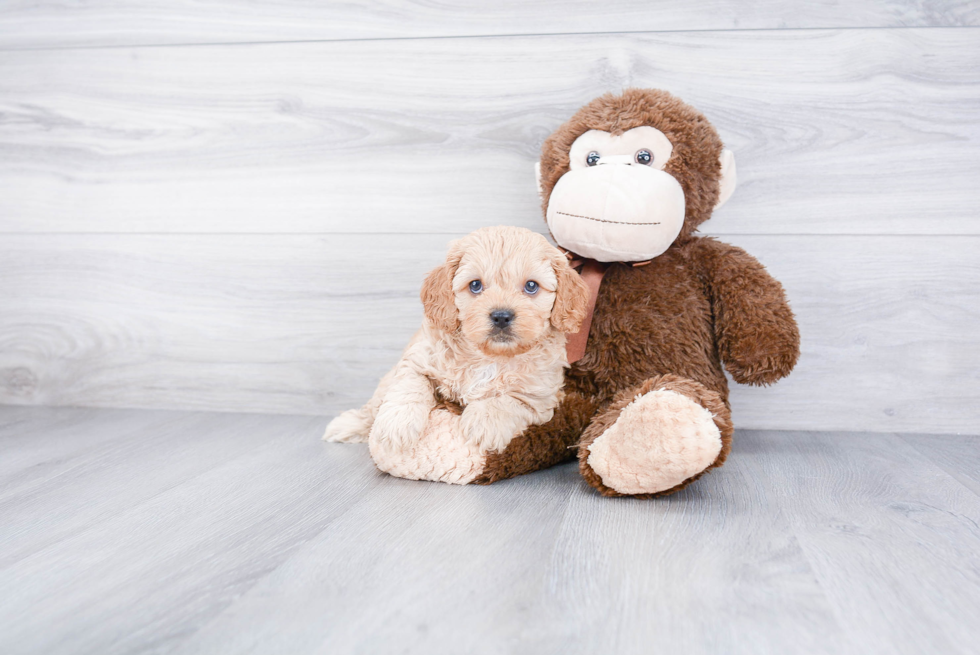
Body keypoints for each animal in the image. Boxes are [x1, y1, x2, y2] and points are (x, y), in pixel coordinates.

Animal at [326, 226, 588, 462]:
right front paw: (397, 425)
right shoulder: (418, 360)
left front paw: (484, 424)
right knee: (373, 406)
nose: (501, 316)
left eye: (531, 286)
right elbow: (410, 386)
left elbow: (508, 399)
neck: (489, 357)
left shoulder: (538, 395)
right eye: (475, 285)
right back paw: (348, 425)